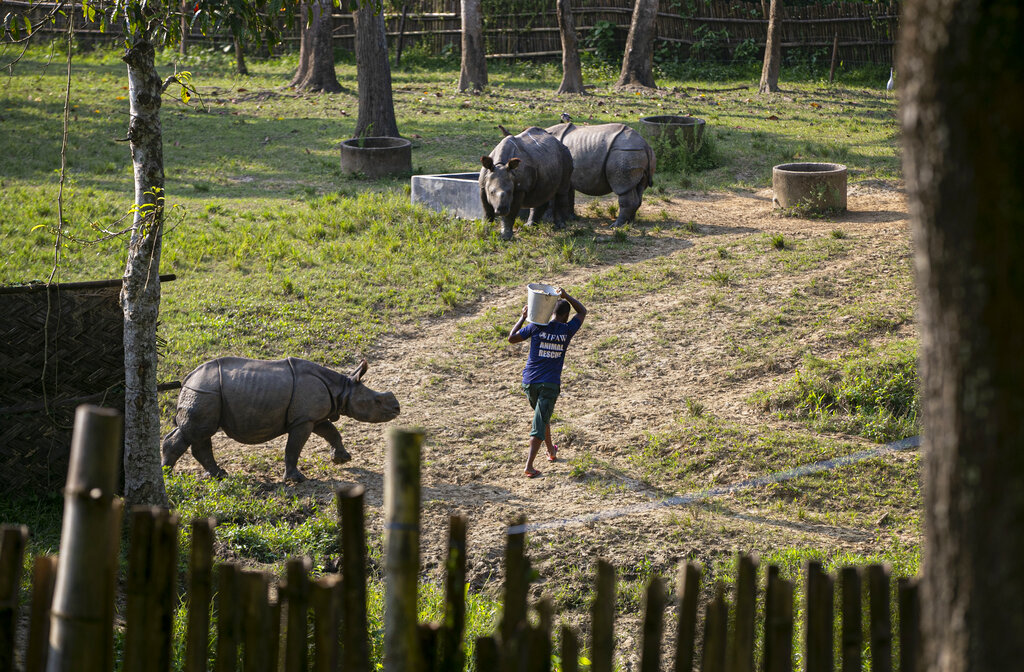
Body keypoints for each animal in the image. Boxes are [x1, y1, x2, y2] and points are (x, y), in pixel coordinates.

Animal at [161, 357, 400, 483]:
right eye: (377, 401)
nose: (397, 408)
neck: (342, 388)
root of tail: (188, 379)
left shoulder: (312, 416)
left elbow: (331, 432)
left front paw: (342, 459)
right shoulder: (303, 420)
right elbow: (293, 447)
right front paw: (296, 479)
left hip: (203, 393)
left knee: (197, 433)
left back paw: (209, 475)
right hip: (204, 392)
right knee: (198, 432)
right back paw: (172, 475)